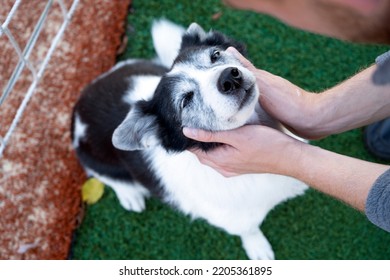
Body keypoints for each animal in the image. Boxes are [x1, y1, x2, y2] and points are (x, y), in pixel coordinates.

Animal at [71, 19, 308, 260]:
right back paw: (130, 194)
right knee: (102, 175)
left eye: (215, 55)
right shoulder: (236, 219)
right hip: (93, 156)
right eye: (185, 100)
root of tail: (79, 105)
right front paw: (257, 247)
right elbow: (249, 230)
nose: (229, 77)